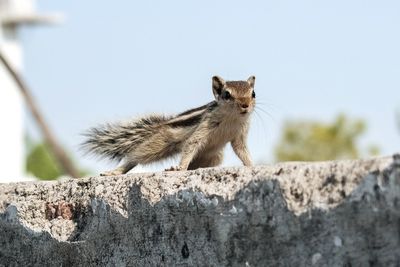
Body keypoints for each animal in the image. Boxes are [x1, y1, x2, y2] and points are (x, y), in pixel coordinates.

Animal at [82, 75, 256, 177]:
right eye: (227, 94)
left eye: (253, 93)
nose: (245, 105)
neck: (232, 118)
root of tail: (161, 125)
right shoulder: (206, 124)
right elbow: (192, 144)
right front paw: (180, 168)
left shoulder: (241, 135)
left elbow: (242, 150)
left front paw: (252, 165)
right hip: (159, 143)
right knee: (135, 156)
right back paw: (116, 171)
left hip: (213, 157)